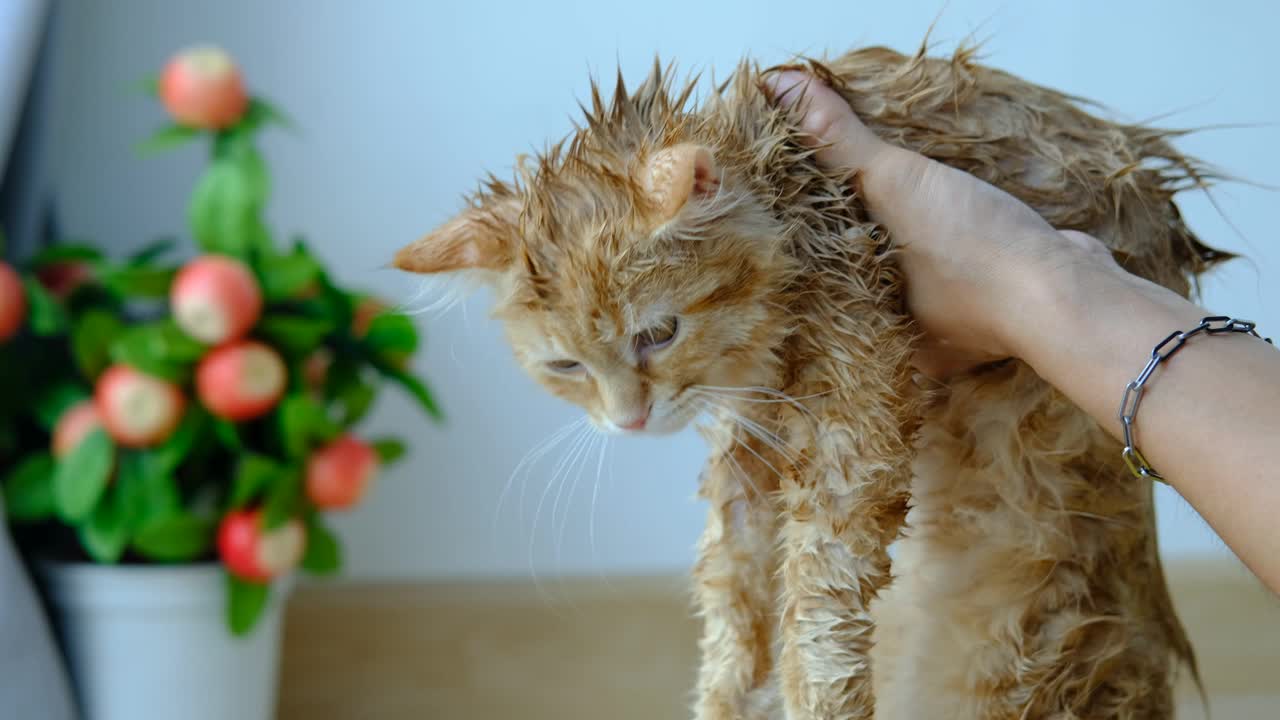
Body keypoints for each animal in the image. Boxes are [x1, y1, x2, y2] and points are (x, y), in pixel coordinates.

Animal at [394, 44, 1223, 717]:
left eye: (657, 334)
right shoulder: (752, 441)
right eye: (566, 367)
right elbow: (731, 602)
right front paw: (730, 698)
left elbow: (817, 600)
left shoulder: (859, 406)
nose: (628, 419)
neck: (790, 188)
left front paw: (815, 698)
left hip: (1041, 655)